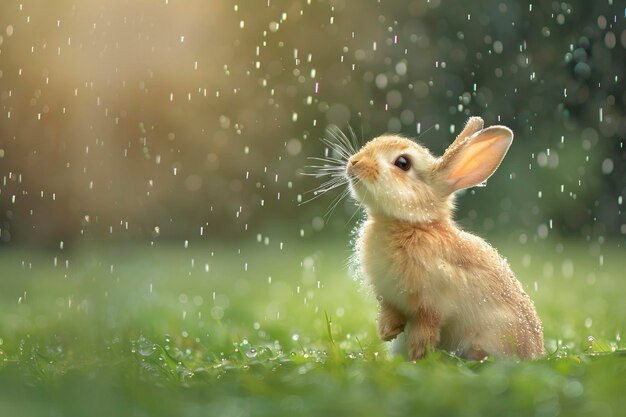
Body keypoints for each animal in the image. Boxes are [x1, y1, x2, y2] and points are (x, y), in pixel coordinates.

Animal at [332, 117, 540, 360]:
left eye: (403, 163)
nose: (354, 162)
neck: (412, 225)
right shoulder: (389, 296)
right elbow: (391, 311)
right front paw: (387, 331)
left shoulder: (435, 298)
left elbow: (428, 322)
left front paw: (418, 351)